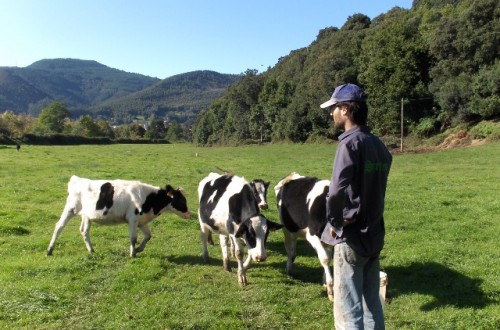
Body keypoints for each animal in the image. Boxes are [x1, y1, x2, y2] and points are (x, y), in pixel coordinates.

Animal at [46, 175, 191, 258]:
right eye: (181, 200)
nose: (190, 214)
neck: (149, 198)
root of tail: (77, 179)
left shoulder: (142, 221)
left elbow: (148, 236)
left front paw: (139, 249)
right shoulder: (133, 219)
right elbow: (133, 238)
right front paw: (133, 253)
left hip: (86, 216)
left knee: (84, 231)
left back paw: (91, 250)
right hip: (70, 209)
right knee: (59, 227)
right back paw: (49, 250)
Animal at [274, 173, 332, 302]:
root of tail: (292, 175)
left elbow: (328, 258)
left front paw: (325, 282)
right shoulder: (312, 235)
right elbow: (325, 259)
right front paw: (331, 290)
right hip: (288, 228)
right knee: (291, 251)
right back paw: (289, 270)